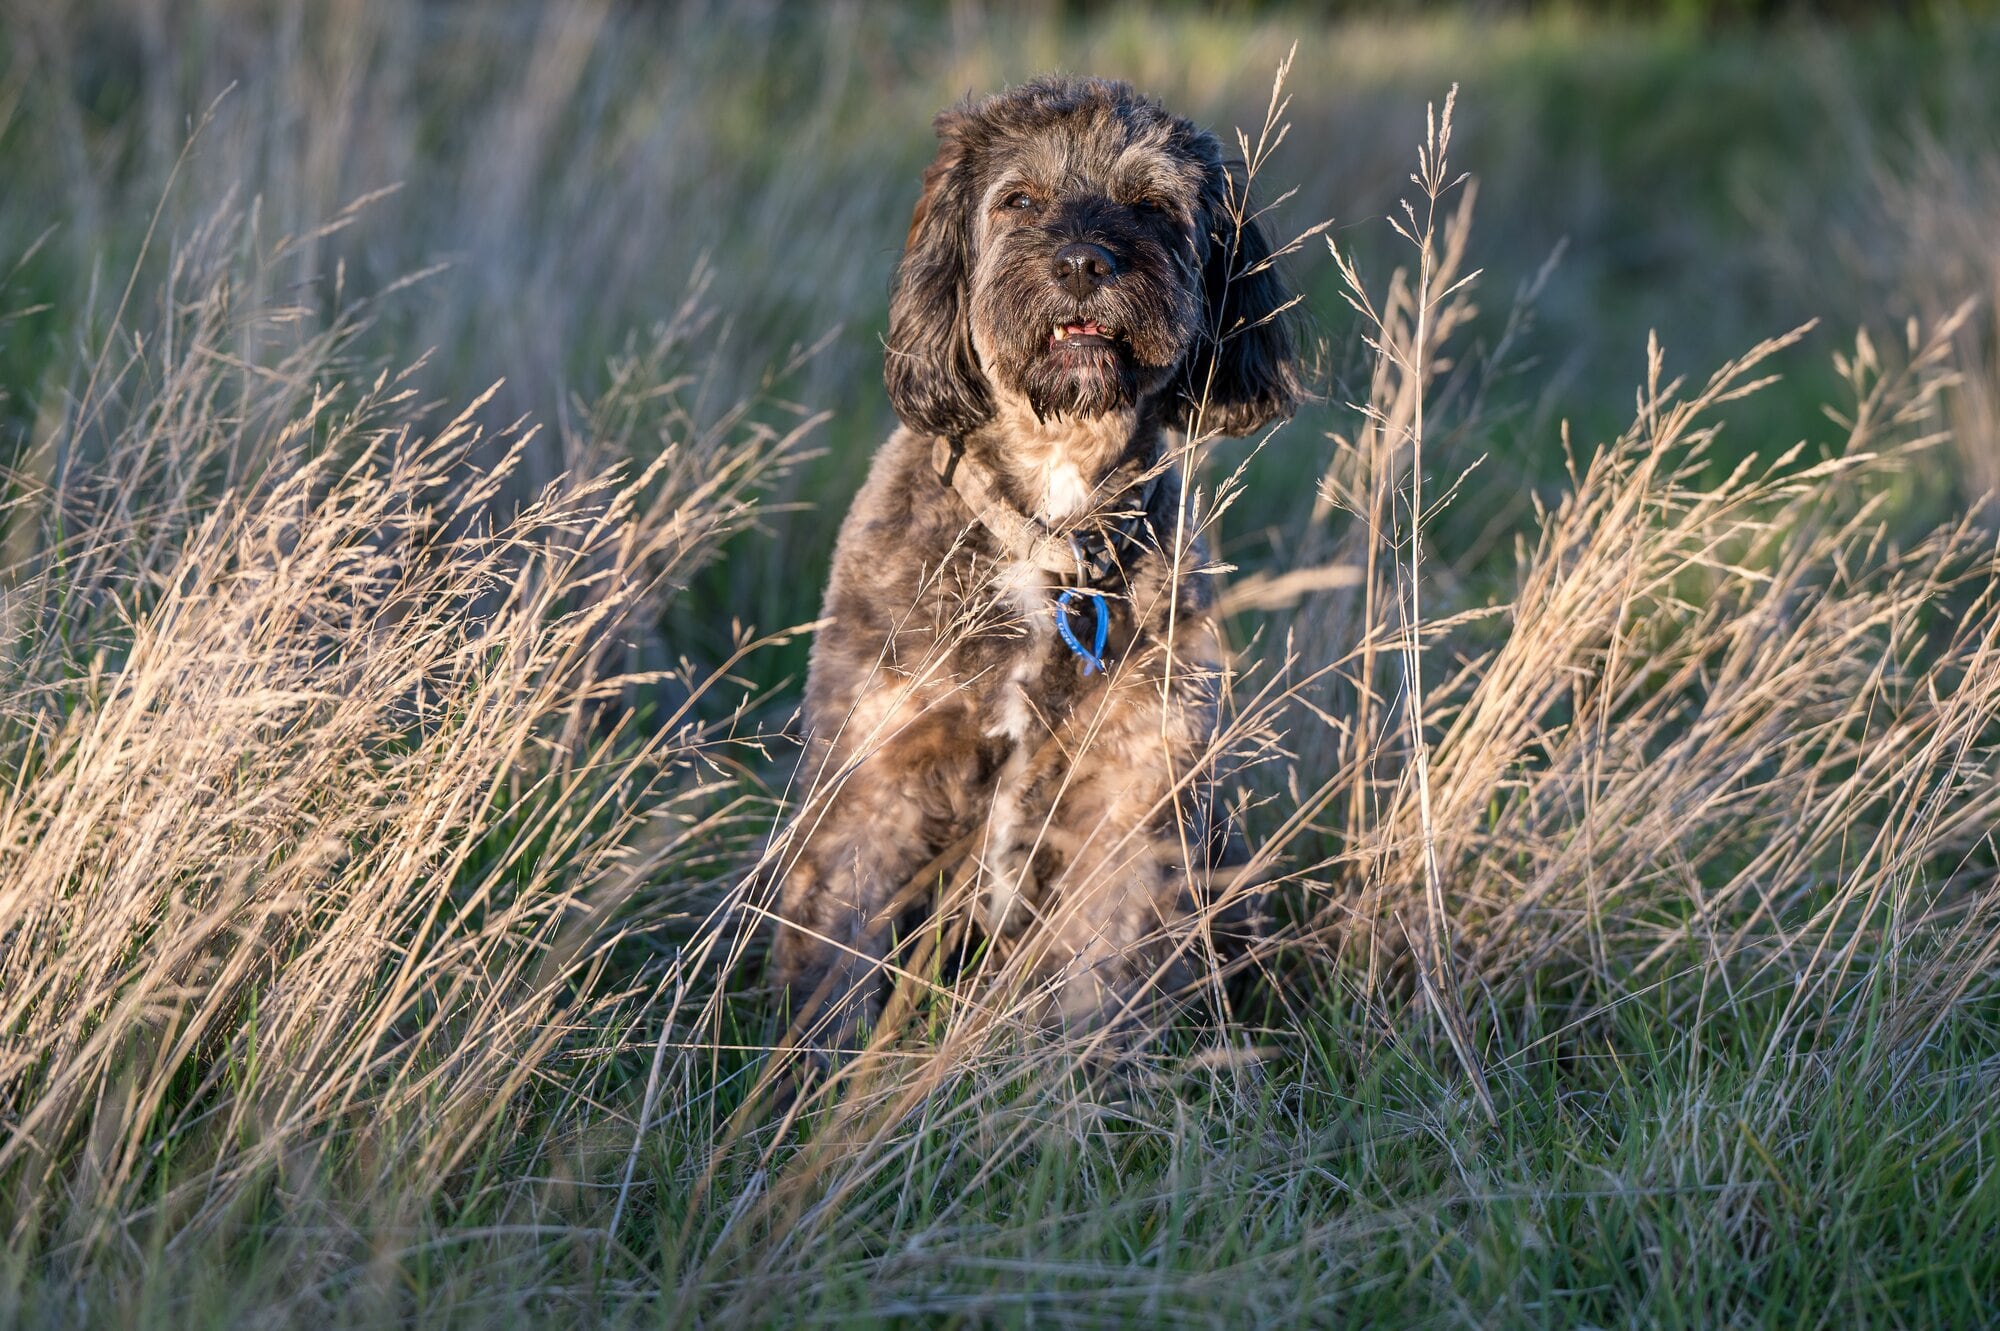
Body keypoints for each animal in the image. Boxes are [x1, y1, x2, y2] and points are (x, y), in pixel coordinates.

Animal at [764, 74, 1296, 1047]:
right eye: (1019, 201)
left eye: (1150, 204)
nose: (1085, 263)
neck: (1051, 523)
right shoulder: (873, 781)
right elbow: (832, 967)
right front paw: (808, 1077)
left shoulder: (1131, 790)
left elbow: (1097, 980)